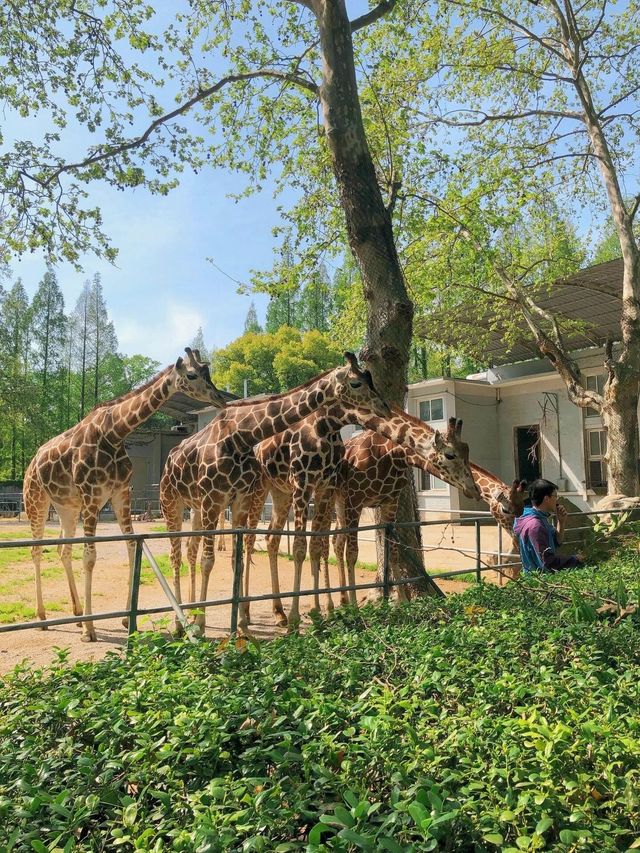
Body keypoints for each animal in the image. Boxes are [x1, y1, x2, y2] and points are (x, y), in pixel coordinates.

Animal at [22, 346, 228, 640]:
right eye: (192, 375)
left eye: (206, 372)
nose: (219, 398)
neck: (115, 432)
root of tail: (33, 460)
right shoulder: (92, 495)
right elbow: (90, 557)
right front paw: (90, 630)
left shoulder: (120, 494)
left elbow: (132, 547)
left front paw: (124, 620)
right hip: (36, 499)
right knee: (37, 550)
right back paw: (42, 617)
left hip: (66, 506)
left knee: (63, 549)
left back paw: (76, 612)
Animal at [159, 352, 390, 632]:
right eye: (357, 383)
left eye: (370, 378)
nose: (385, 408)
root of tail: (169, 459)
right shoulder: (300, 484)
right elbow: (298, 547)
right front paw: (296, 617)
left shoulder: (322, 487)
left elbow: (313, 547)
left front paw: (317, 612)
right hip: (182, 502)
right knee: (183, 553)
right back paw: (187, 621)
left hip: (251, 499)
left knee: (244, 542)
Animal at [244, 408, 480, 624]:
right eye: (450, 454)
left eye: (468, 452)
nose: (474, 490)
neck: (393, 454)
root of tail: (259, 447)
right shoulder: (354, 500)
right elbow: (352, 553)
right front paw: (356, 607)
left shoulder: (389, 503)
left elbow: (393, 551)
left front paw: (402, 601)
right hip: (265, 489)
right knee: (252, 537)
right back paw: (247, 615)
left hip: (287, 494)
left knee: (284, 539)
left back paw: (287, 611)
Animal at [332, 430, 528, 596]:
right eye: (505, 510)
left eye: (522, 508)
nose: (518, 540)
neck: (394, 453)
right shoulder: (354, 500)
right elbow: (353, 554)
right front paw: (354, 606)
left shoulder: (390, 502)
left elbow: (393, 551)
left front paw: (400, 601)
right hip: (340, 502)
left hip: (340, 503)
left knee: (336, 541)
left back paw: (340, 599)